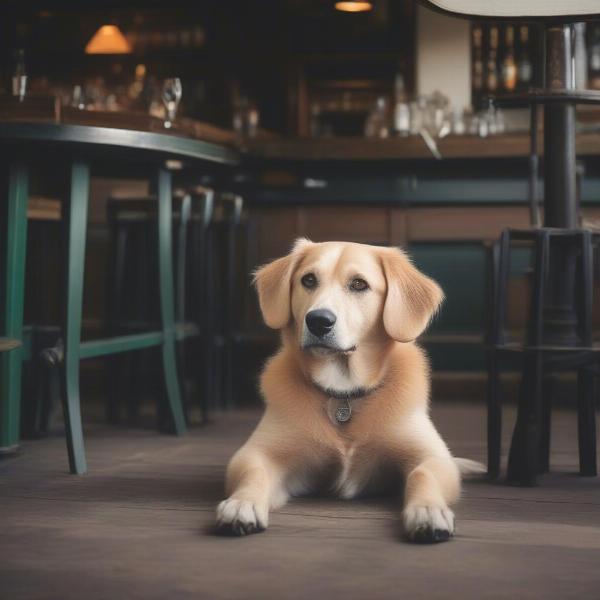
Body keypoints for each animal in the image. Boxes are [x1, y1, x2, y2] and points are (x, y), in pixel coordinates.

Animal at [216, 239, 482, 544]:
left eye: (359, 284)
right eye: (308, 280)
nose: (318, 320)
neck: (343, 392)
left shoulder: (430, 455)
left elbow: (423, 474)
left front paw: (428, 510)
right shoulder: (257, 452)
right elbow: (253, 472)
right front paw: (242, 503)